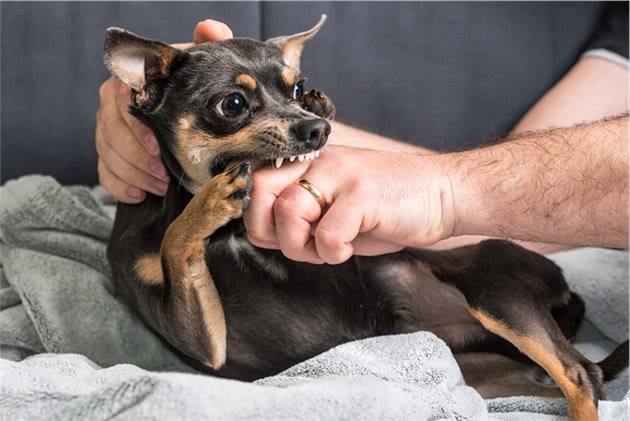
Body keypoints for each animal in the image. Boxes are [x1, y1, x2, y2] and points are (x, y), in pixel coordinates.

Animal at [103, 14, 628, 418]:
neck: (228, 234)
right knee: (570, 379)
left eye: (295, 87)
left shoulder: (210, 342)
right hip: (480, 371)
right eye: (232, 104)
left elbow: (175, 238)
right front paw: (212, 199)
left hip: (493, 290)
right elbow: (174, 240)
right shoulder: (208, 345)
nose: (315, 127)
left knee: (580, 373)